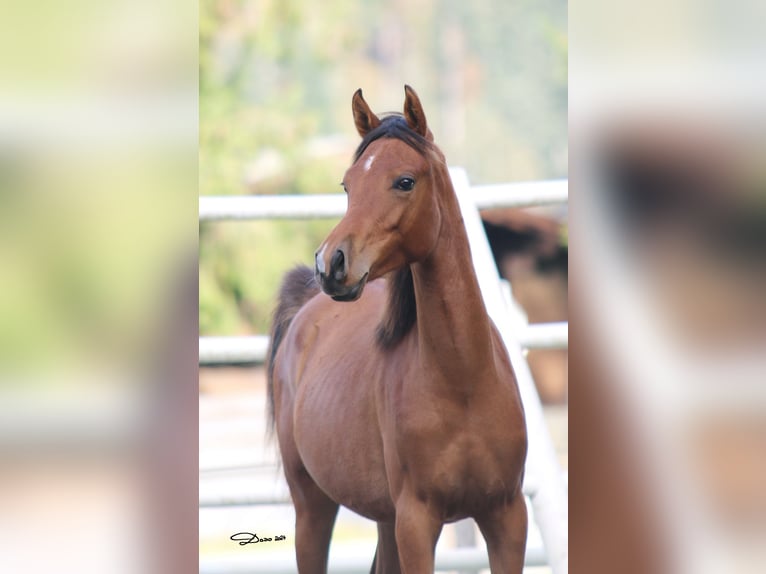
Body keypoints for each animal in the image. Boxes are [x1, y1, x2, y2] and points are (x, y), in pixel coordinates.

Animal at [267, 86, 527, 573]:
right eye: (347, 185)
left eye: (405, 181)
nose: (330, 264)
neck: (464, 382)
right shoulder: (417, 523)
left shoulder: (507, 518)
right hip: (313, 508)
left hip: (382, 519)